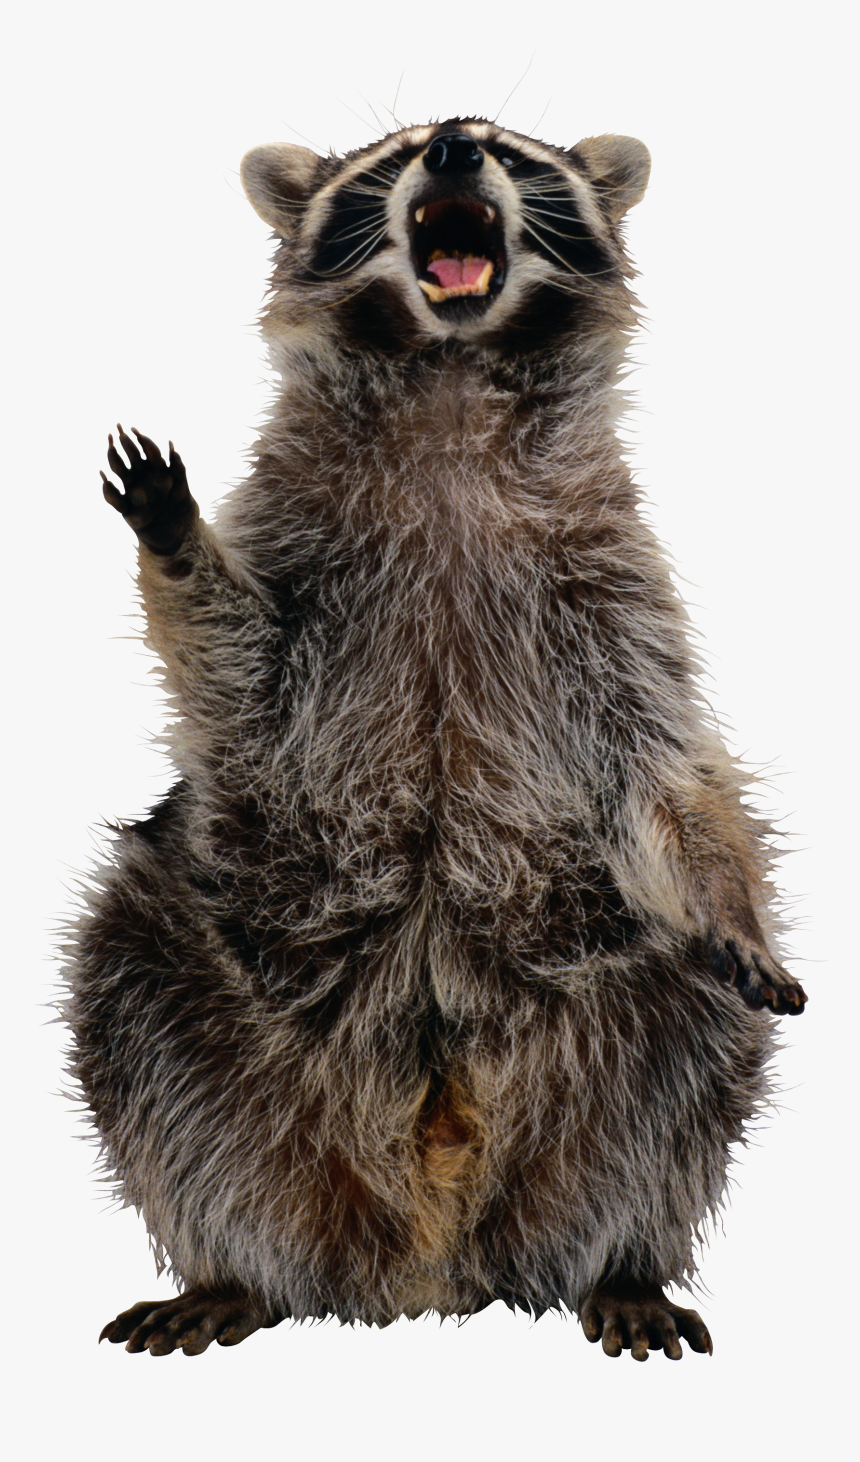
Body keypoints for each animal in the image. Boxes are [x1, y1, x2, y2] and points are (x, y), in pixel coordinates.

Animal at [68, 118, 806, 1362]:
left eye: (517, 154)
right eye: (390, 158)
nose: (457, 146)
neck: (449, 381)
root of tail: (424, 1255)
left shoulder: (609, 583)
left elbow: (663, 763)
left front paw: (729, 897)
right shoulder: (302, 551)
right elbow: (237, 675)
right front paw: (175, 544)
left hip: (615, 1007)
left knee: (690, 1047)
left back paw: (627, 1256)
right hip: (209, 989)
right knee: (128, 988)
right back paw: (230, 1263)